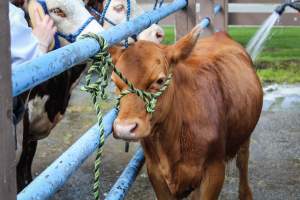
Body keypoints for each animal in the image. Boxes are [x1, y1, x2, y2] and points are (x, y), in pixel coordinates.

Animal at [110, 27, 262, 200]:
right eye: (114, 81)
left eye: (160, 80)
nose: (124, 128)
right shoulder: (155, 172)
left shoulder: (215, 170)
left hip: (245, 134)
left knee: (243, 161)